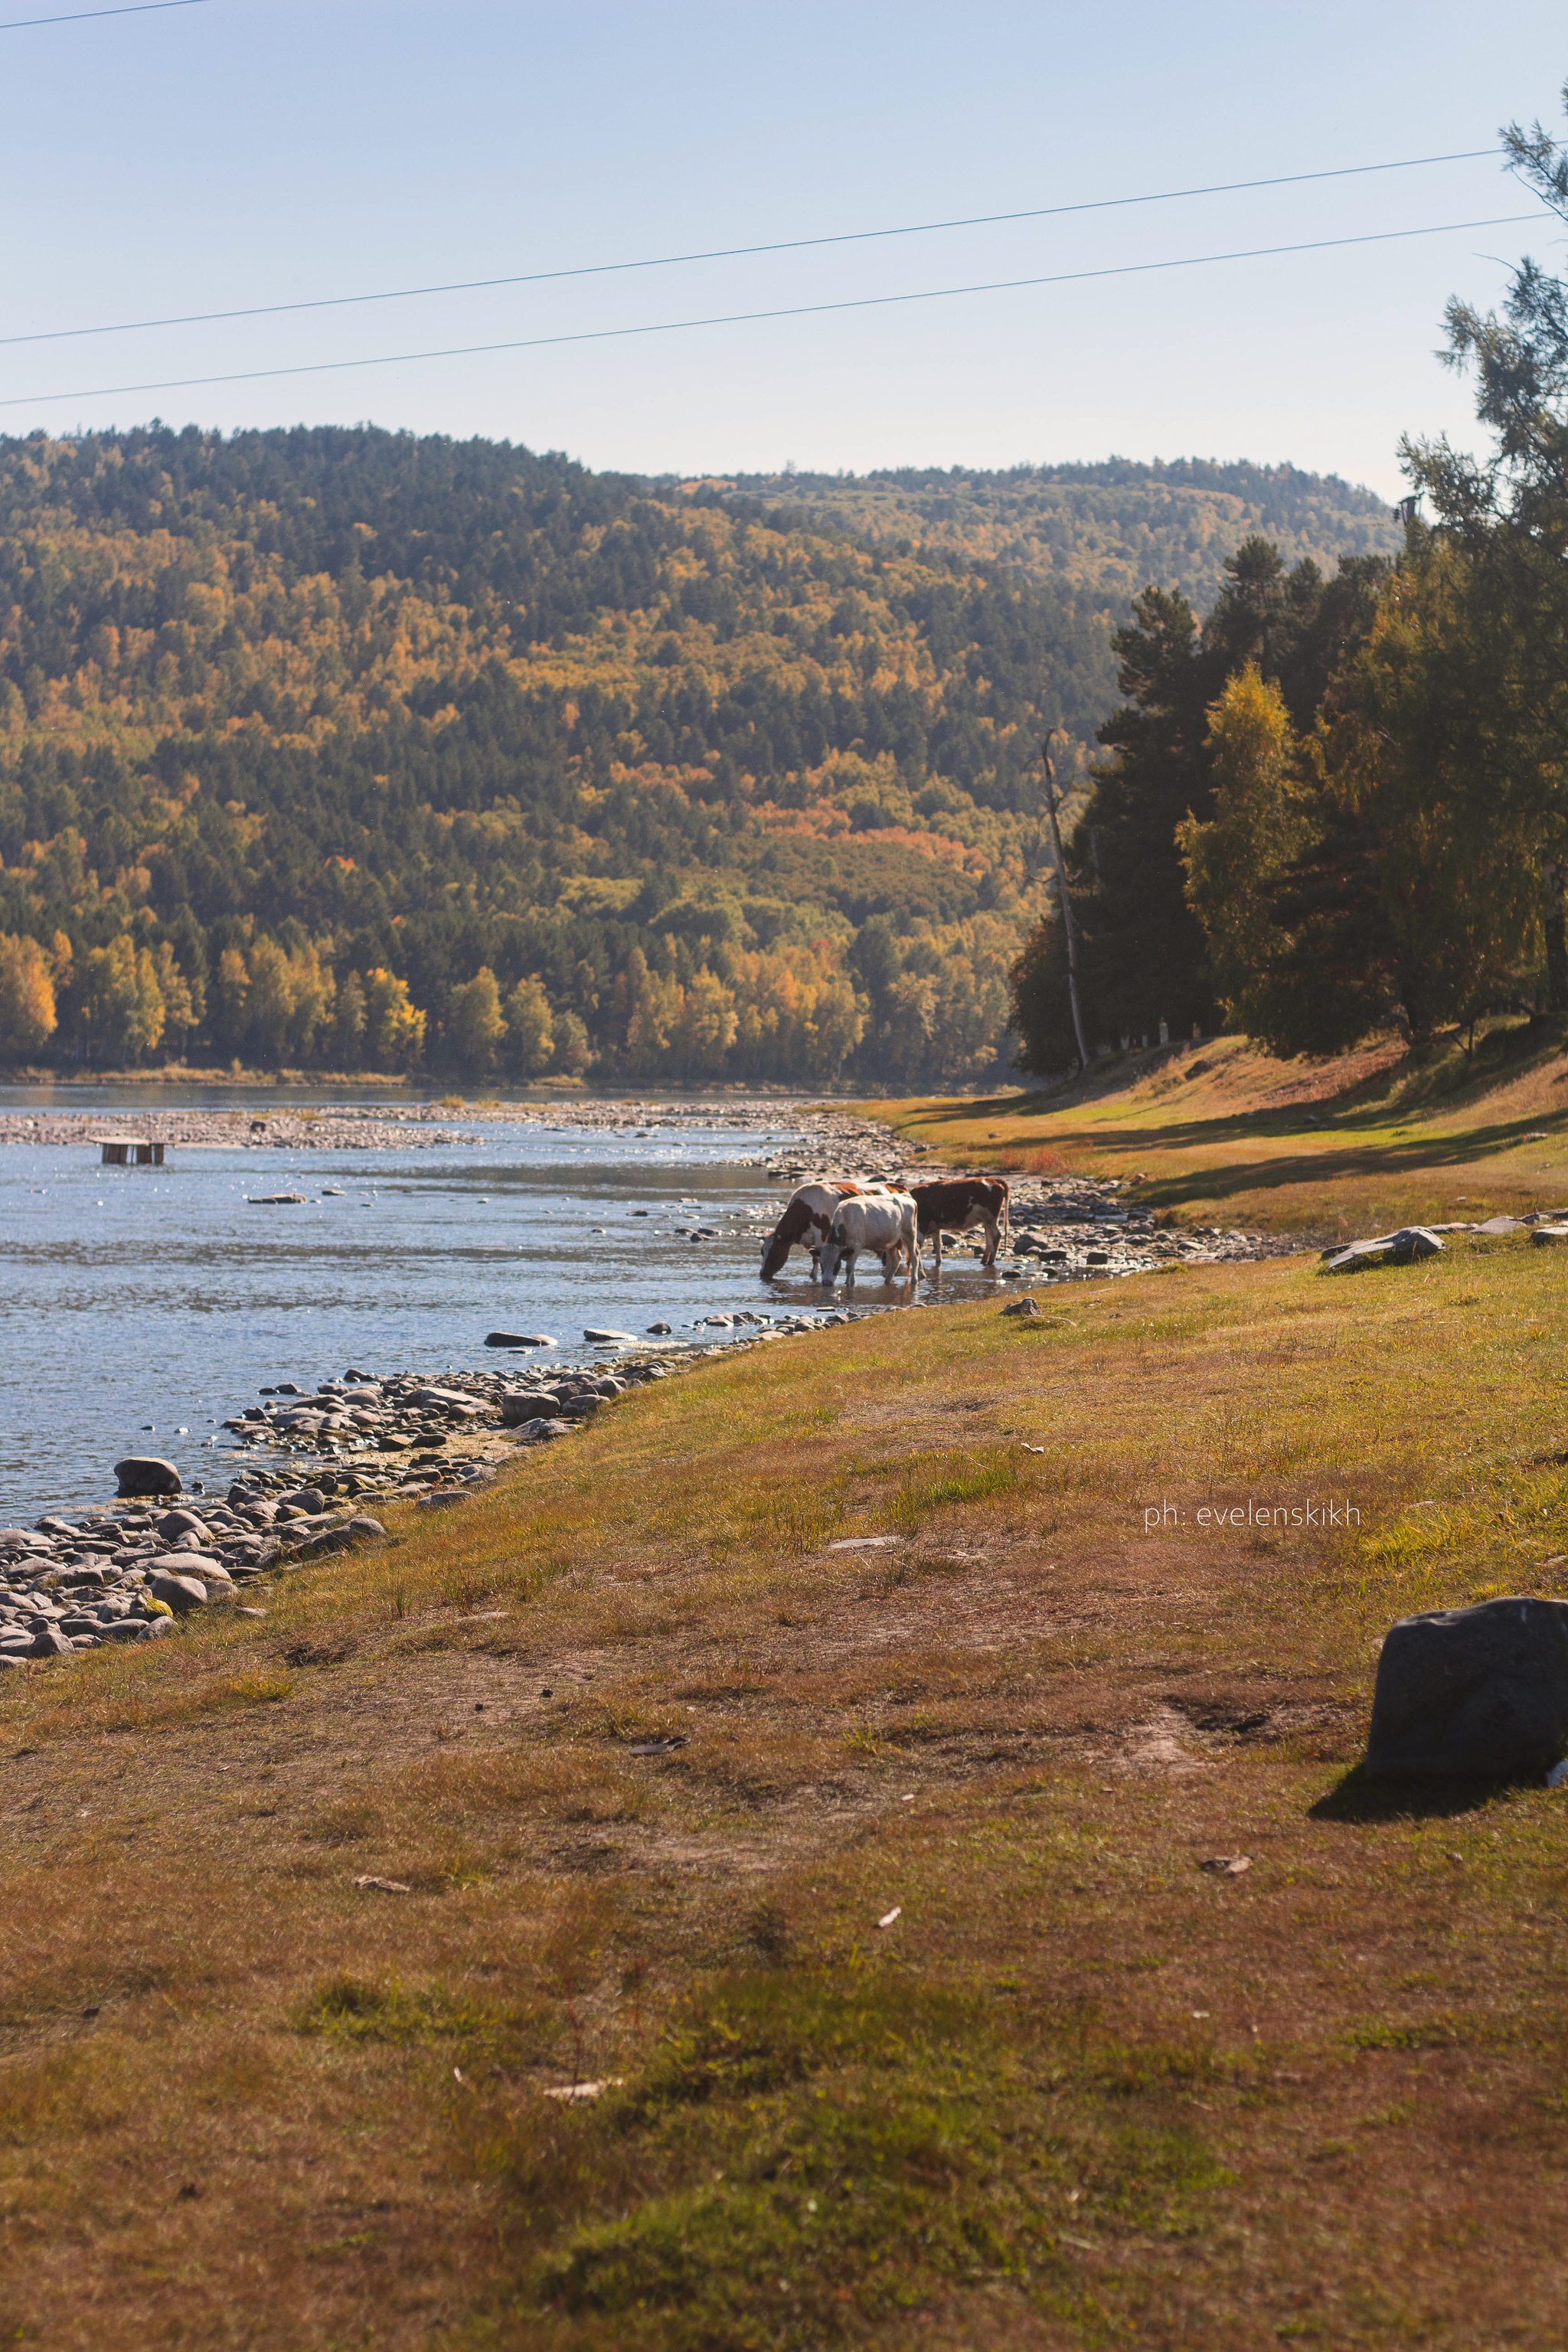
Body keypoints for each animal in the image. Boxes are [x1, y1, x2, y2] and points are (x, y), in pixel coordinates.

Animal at [761, 1176, 879, 1289]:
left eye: (774, 1252)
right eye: (762, 1252)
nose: (763, 1274)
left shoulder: (822, 1235)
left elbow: (816, 1259)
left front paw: (814, 1278)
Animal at [822, 1194, 921, 1289]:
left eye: (836, 1265)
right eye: (821, 1264)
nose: (827, 1283)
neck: (846, 1217)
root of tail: (910, 1199)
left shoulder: (856, 1245)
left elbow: (849, 1268)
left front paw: (848, 1284)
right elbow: (852, 1266)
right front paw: (851, 1282)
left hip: (910, 1235)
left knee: (914, 1256)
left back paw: (914, 1280)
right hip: (892, 1241)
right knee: (896, 1259)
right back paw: (887, 1281)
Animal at [912, 1176, 1011, 1269]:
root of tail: (993, 1180)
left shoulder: (922, 1224)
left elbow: (918, 1245)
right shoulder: (935, 1228)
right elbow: (938, 1246)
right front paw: (939, 1263)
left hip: (990, 1217)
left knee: (996, 1235)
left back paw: (990, 1261)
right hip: (986, 1220)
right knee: (989, 1239)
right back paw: (984, 1261)